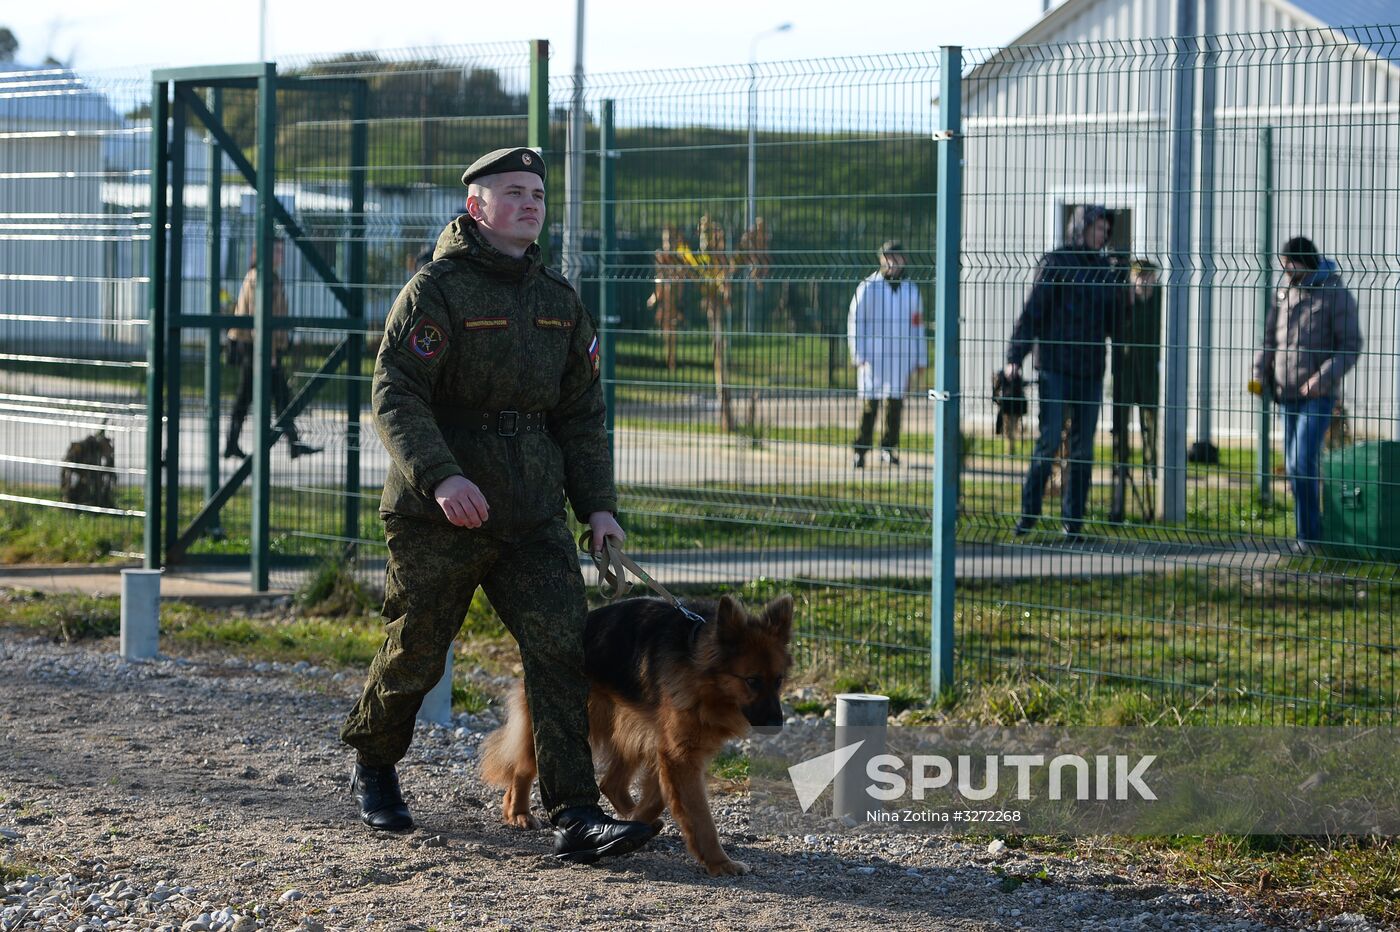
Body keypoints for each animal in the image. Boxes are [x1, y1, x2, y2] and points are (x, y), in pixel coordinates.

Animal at [478, 590, 789, 873]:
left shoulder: (672, 751)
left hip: (633, 731)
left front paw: (639, 822)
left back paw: (626, 819)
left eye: (779, 680)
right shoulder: (679, 755)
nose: (777, 726)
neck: (698, 665)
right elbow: (699, 815)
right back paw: (518, 811)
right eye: (752, 681)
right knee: (524, 767)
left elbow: (658, 797)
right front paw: (719, 862)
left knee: (610, 783)